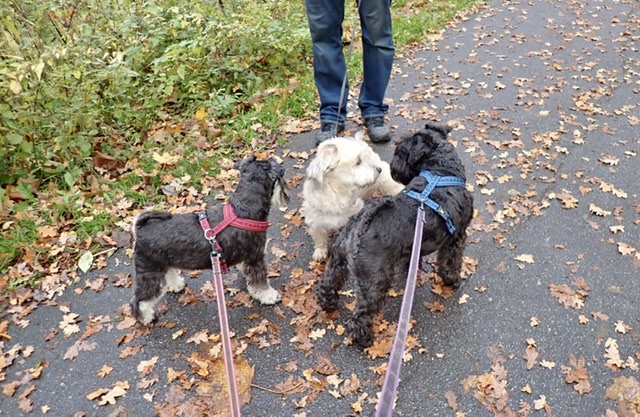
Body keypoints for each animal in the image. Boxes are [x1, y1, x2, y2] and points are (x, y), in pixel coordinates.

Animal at [130, 156, 291, 325]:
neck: (243, 209)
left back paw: (177, 285)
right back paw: (146, 318)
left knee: (168, 274)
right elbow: (261, 282)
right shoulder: (255, 257)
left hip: (161, 265)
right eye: (280, 179)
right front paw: (269, 296)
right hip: (149, 273)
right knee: (138, 300)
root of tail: (139, 230)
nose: (286, 194)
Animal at [302, 132, 404, 261]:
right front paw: (320, 250)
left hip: (387, 182)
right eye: (358, 162)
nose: (378, 169)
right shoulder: (315, 218)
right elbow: (319, 236)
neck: (336, 193)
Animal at [315, 122, 474, 348]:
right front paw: (452, 280)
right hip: (375, 280)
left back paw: (328, 304)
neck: (441, 172)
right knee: (360, 314)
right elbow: (451, 262)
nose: (391, 170)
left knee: (328, 283)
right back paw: (364, 338)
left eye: (401, 152)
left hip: (338, 260)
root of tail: (360, 224)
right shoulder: (456, 239)